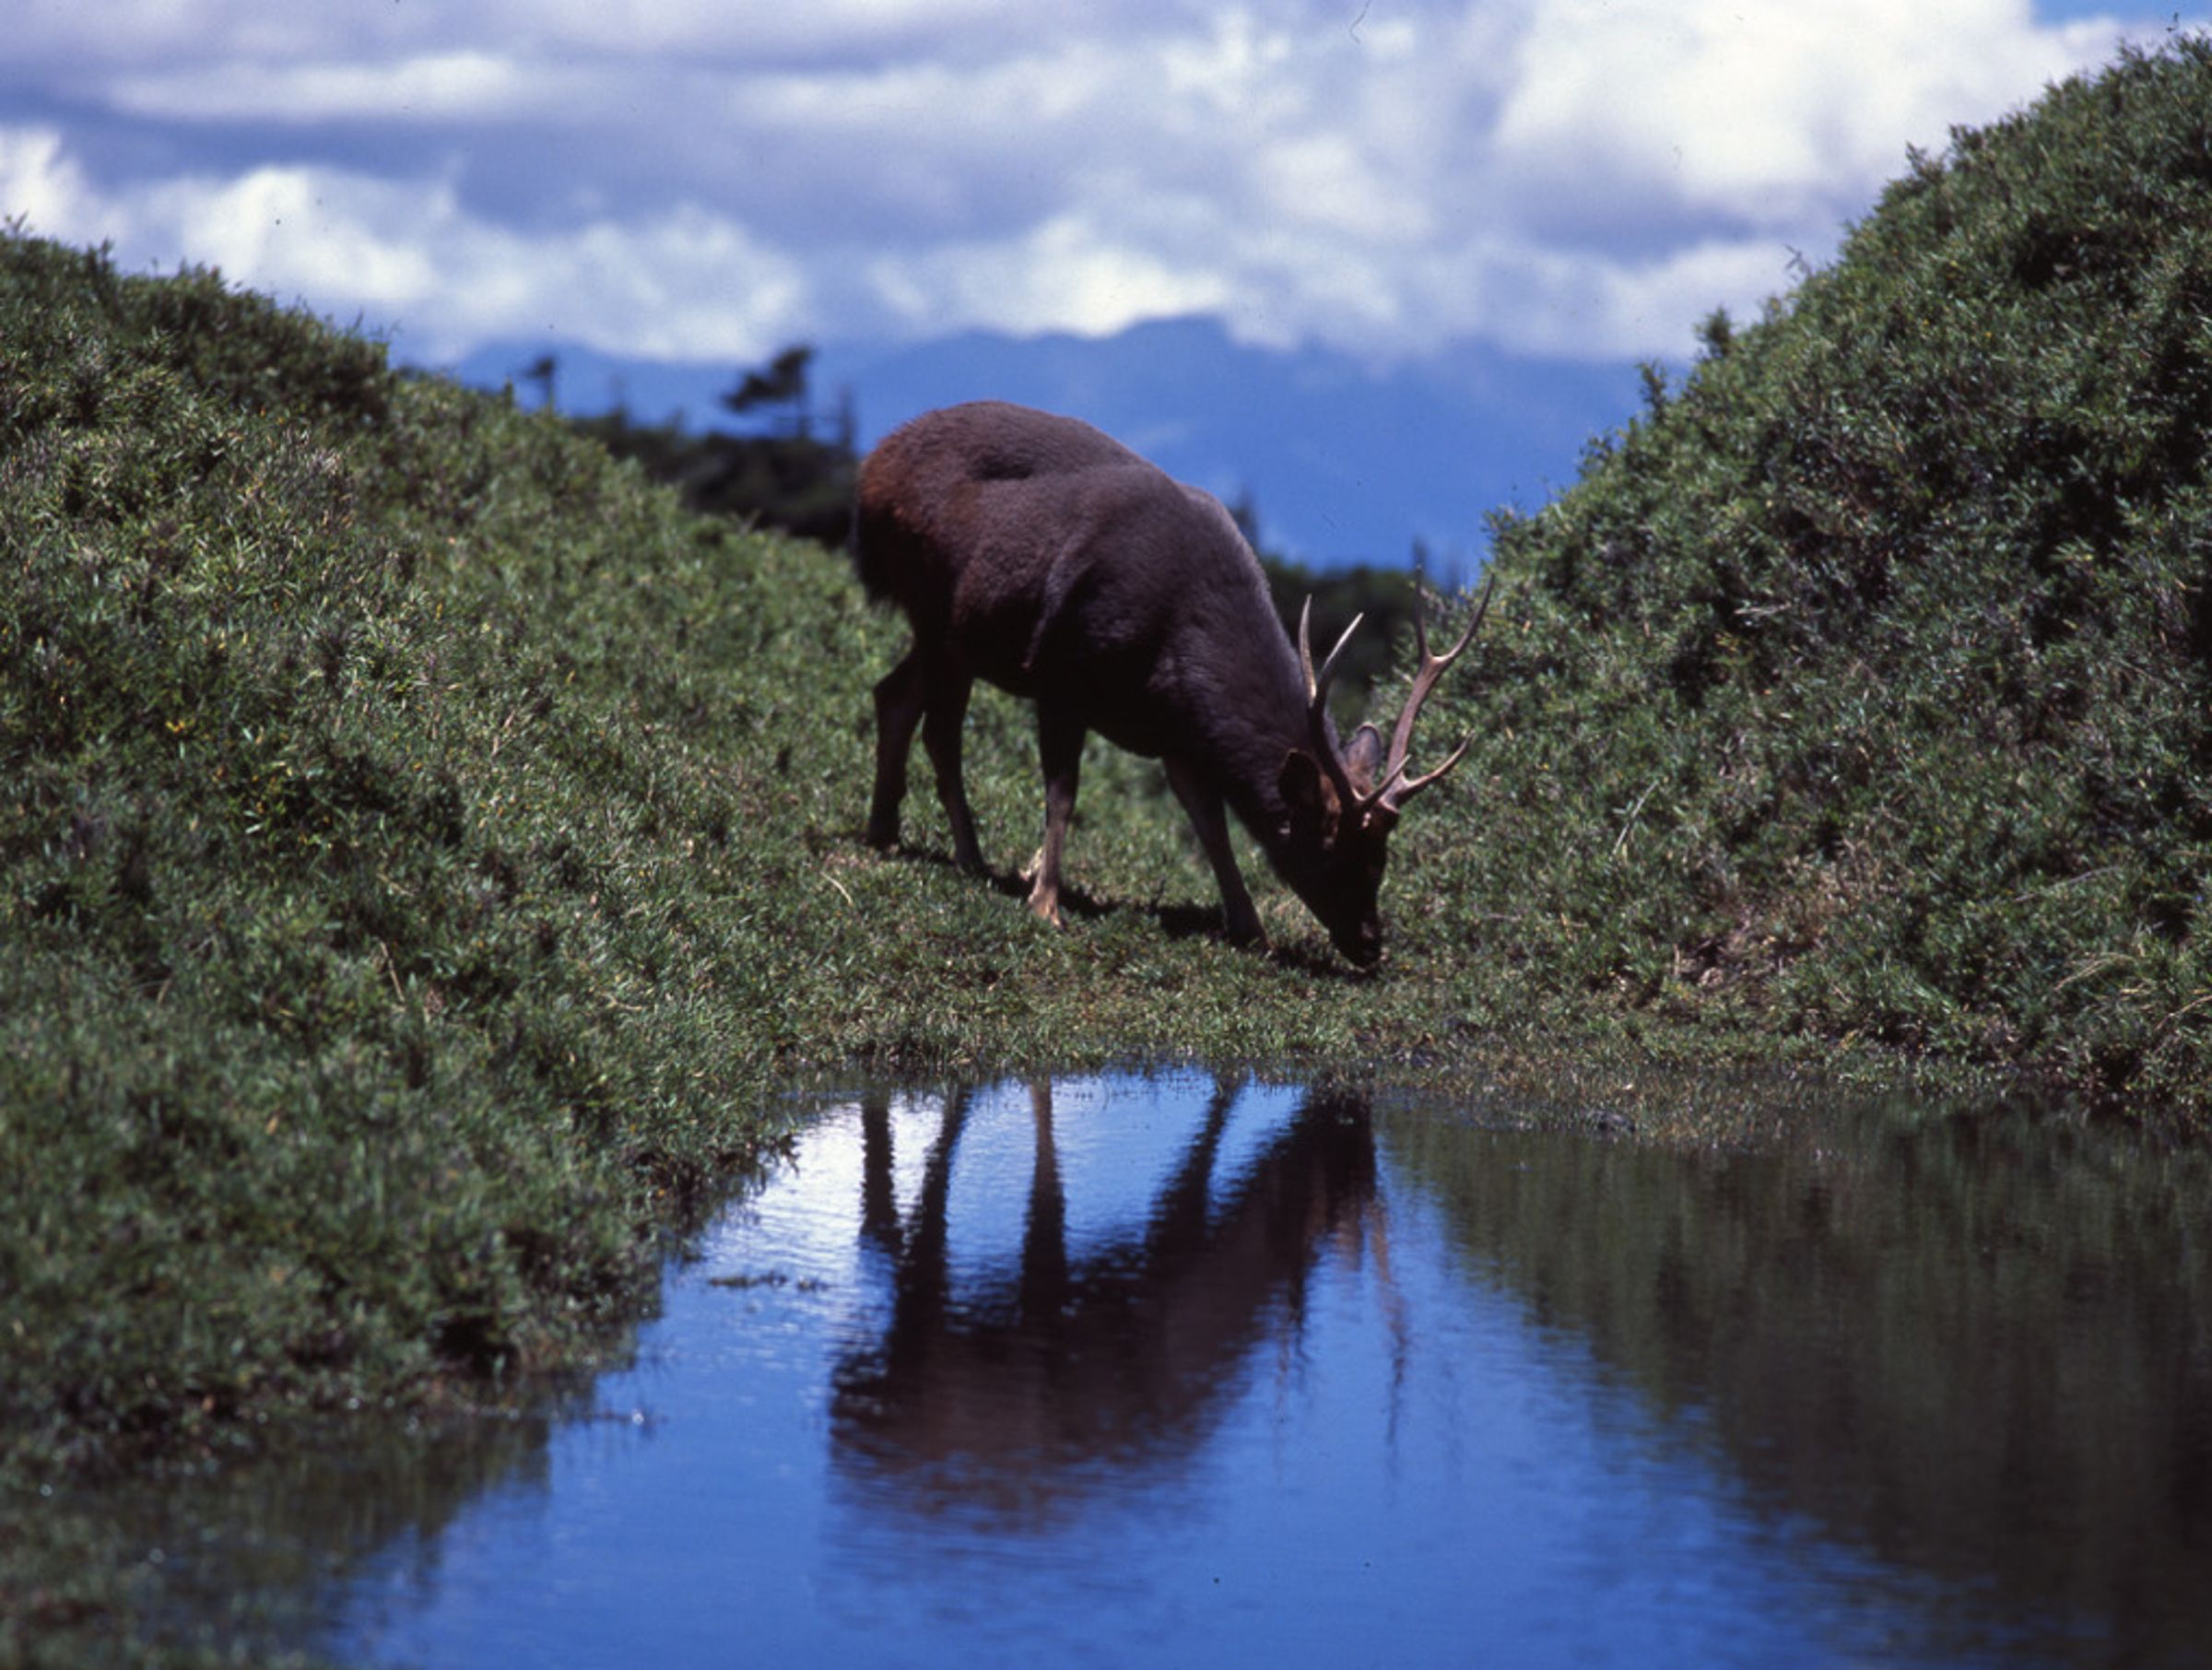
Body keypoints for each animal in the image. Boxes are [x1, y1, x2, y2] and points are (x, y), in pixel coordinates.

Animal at [853, 400, 1490, 968]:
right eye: (1333, 849)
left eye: (1383, 855)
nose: (1371, 945)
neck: (1176, 644)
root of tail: (873, 468)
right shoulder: (1063, 676)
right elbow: (1064, 791)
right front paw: (1046, 902)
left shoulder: (1178, 731)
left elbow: (1209, 822)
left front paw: (1252, 928)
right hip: (937, 613)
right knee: (941, 732)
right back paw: (970, 856)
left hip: (947, 636)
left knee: (892, 694)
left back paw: (884, 830)